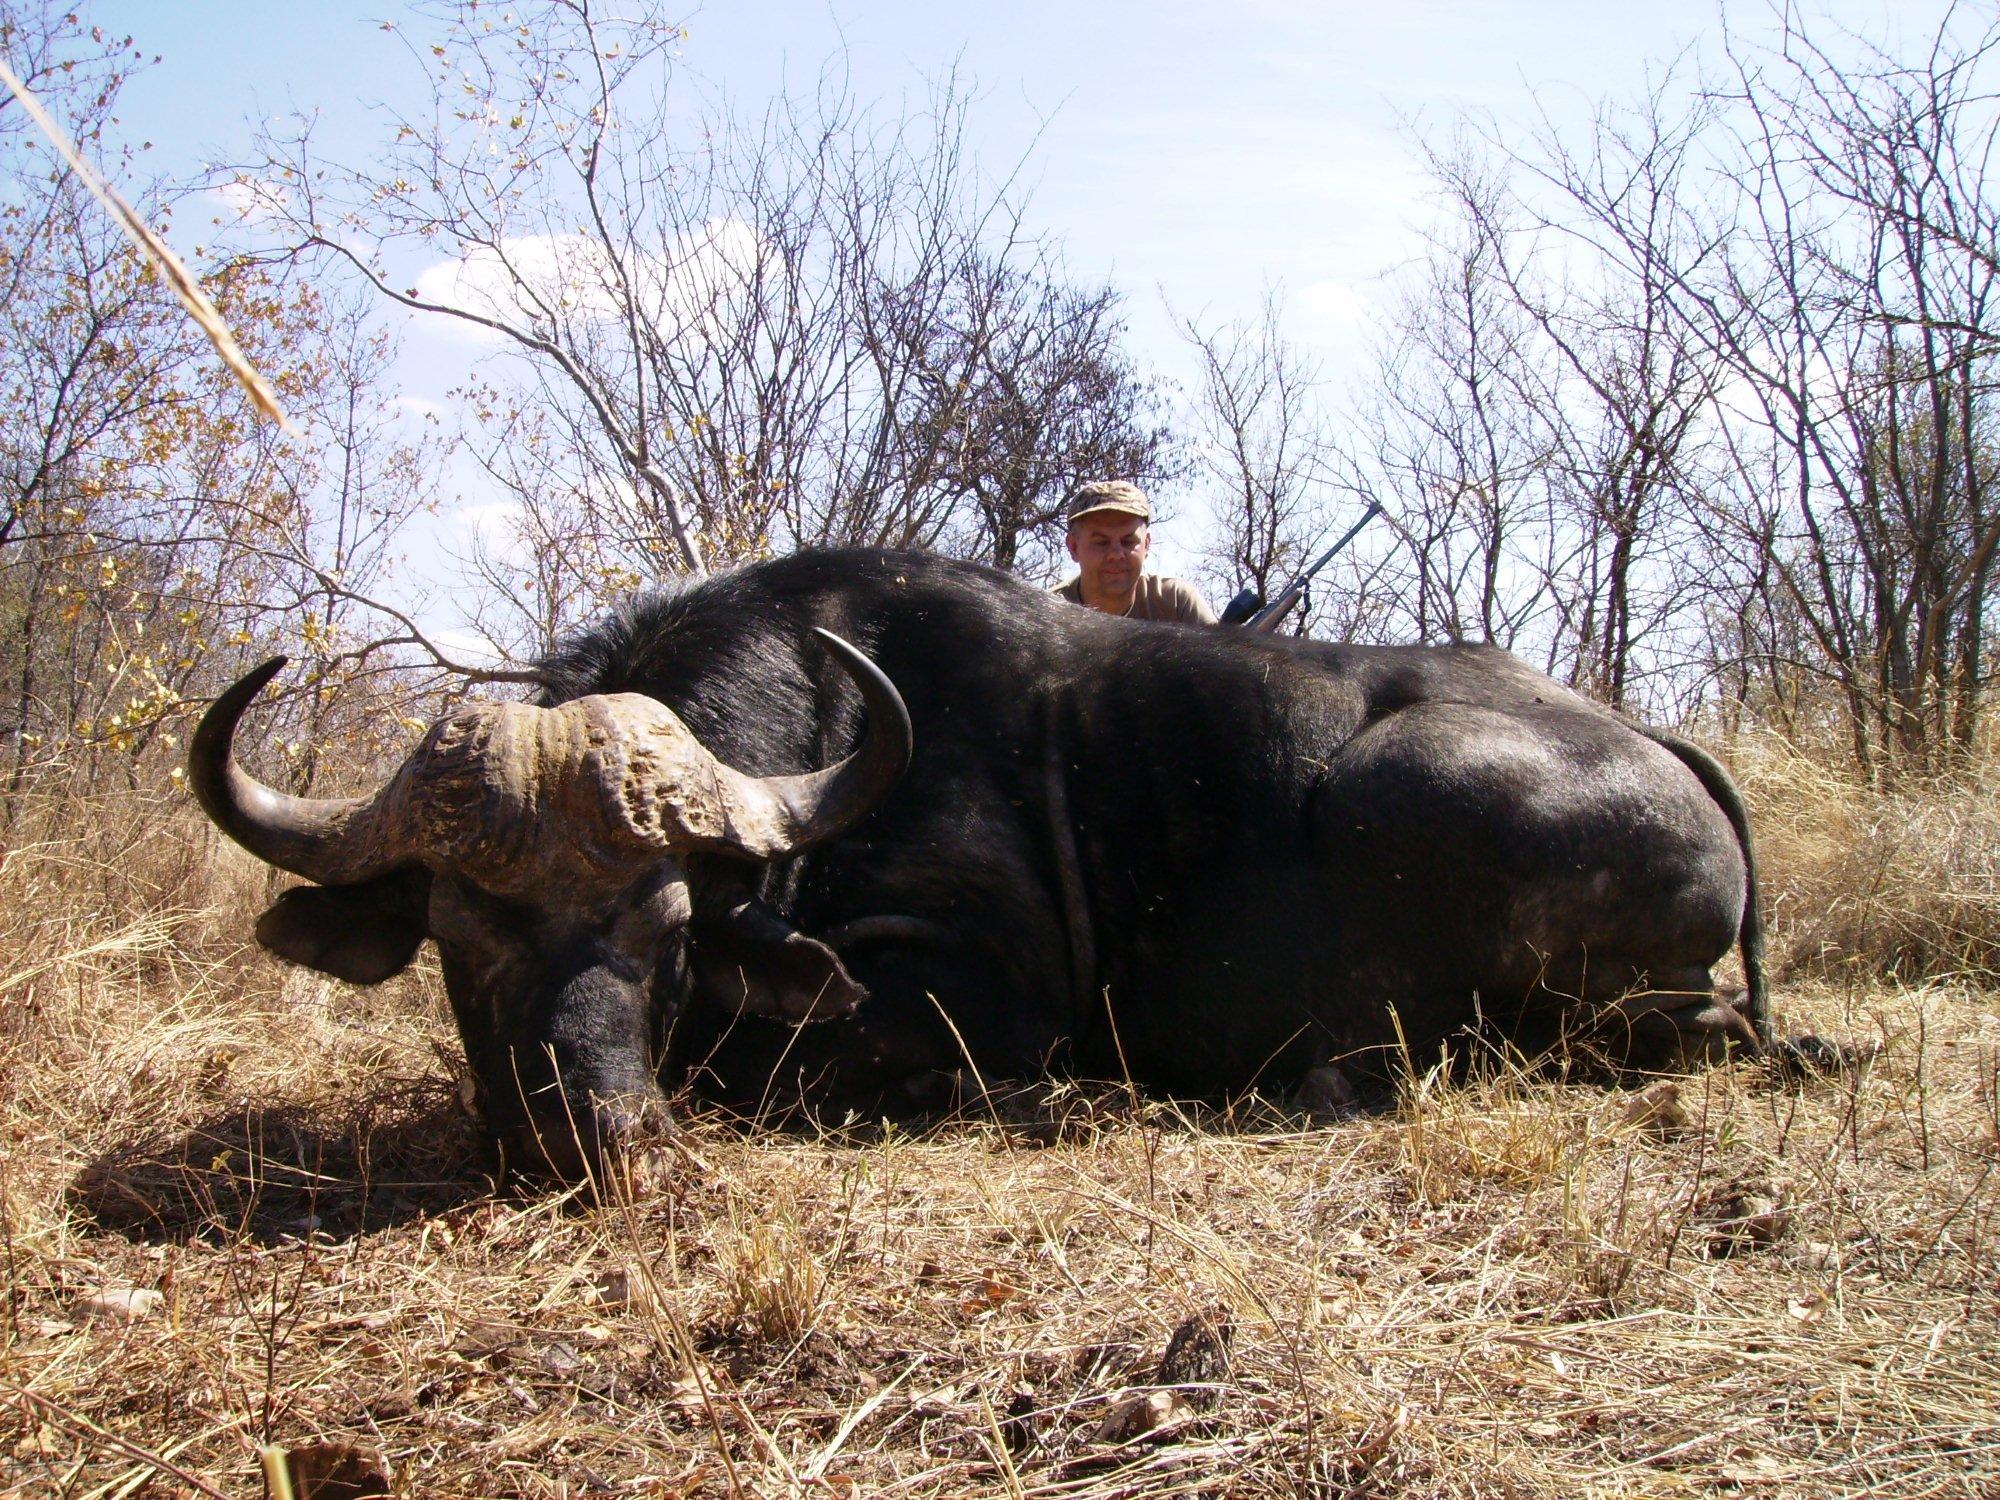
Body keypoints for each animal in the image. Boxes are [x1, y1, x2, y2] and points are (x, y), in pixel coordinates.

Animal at [192, 549, 1799, 1178]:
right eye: (458, 937)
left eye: (665, 930)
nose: (582, 1130)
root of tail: (1652, 743)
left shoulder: (978, 998)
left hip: (1401, 796)